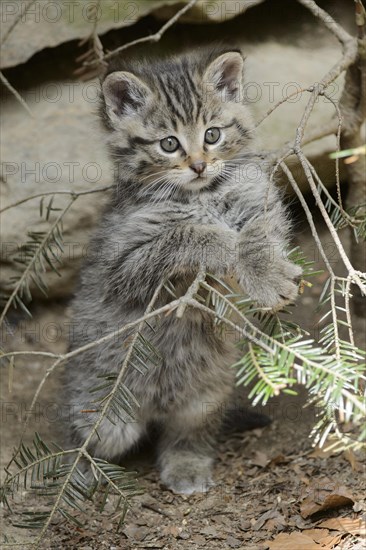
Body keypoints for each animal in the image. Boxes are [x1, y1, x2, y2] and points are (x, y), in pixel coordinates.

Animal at [65, 47, 300, 496]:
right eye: (169, 144)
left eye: (212, 135)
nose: (198, 165)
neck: (203, 194)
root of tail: (155, 405)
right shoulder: (121, 264)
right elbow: (189, 233)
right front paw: (223, 241)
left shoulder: (258, 200)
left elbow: (257, 235)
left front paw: (267, 275)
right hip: (104, 414)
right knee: (82, 434)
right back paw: (75, 473)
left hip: (205, 394)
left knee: (187, 433)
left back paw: (187, 466)